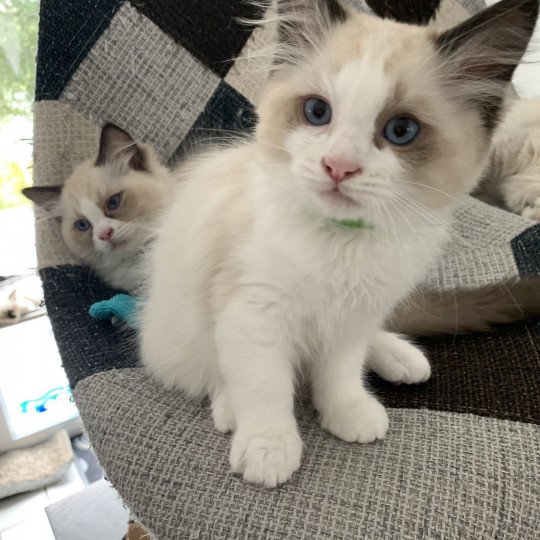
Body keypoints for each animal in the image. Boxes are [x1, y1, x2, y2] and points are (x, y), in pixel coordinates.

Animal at [139, 0, 536, 488]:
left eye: (401, 130)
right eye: (317, 112)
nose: (339, 167)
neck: (344, 241)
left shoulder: (354, 313)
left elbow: (341, 371)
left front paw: (348, 412)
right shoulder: (253, 314)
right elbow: (264, 385)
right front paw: (268, 449)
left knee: (372, 338)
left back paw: (400, 357)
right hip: (177, 331)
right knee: (210, 373)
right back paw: (231, 410)